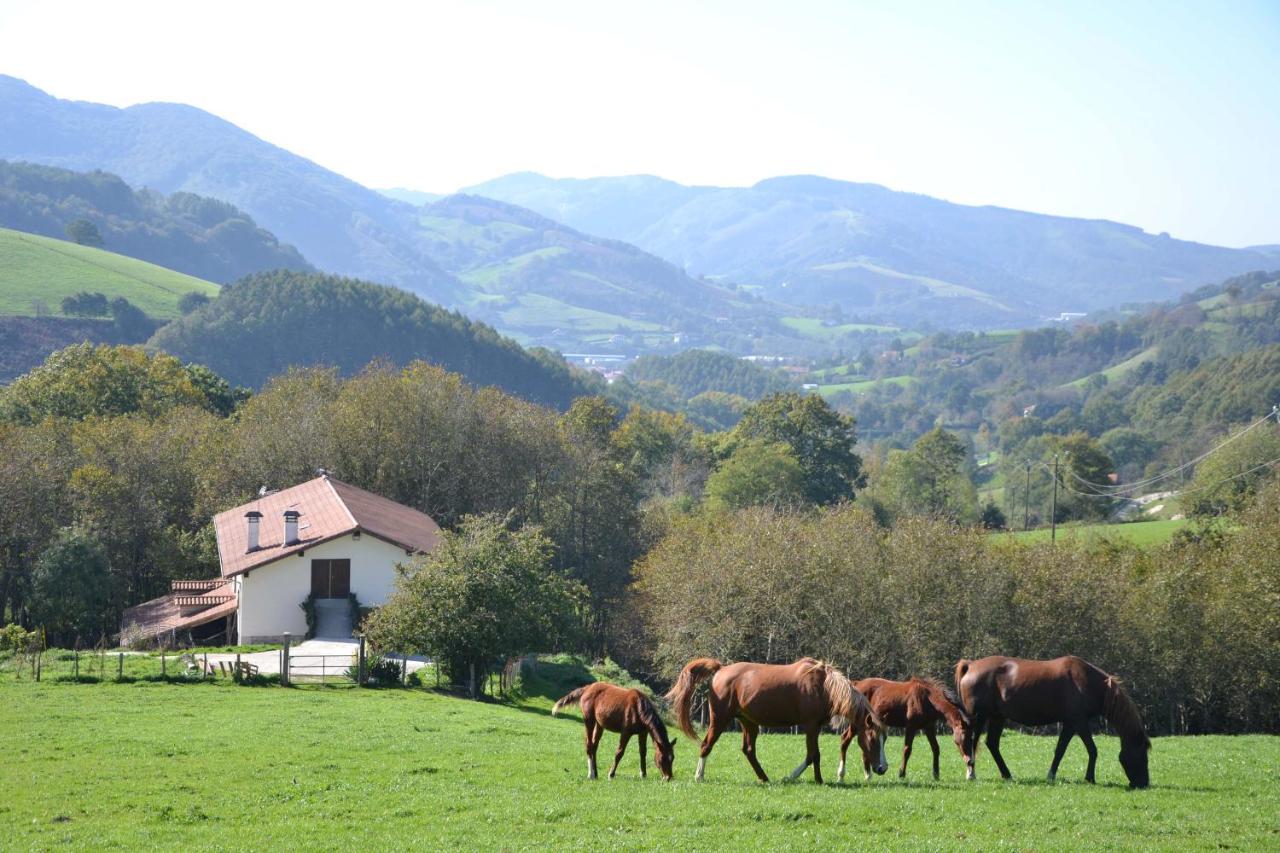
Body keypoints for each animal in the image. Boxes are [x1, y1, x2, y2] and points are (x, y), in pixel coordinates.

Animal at [660, 653, 880, 778]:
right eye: (872, 738)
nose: (881, 768)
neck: (823, 686)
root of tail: (721, 670)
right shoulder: (811, 725)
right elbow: (814, 755)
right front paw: (813, 779)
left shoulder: (815, 726)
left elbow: (812, 756)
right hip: (720, 719)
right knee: (706, 745)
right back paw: (699, 776)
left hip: (749, 723)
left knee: (749, 750)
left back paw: (764, 778)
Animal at [834, 676, 972, 778]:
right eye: (963, 738)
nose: (970, 761)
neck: (927, 699)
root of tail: (856, 685)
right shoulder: (911, 727)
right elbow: (907, 750)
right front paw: (901, 773)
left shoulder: (928, 727)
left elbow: (936, 748)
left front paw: (936, 774)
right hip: (857, 723)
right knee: (845, 739)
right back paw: (843, 773)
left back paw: (867, 774)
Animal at [957, 653, 1157, 788]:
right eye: (1141, 753)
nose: (1143, 783)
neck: (1087, 682)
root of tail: (971, 665)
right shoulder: (1079, 722)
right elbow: (1092, 750)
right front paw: (1090, 778)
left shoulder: (1070, 724)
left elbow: (1060, 750)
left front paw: (1051, 776)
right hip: (979, 716)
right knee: (971, 742)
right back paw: (971, 773)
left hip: (998, 717)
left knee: (992, 744)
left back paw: (1006, 775)